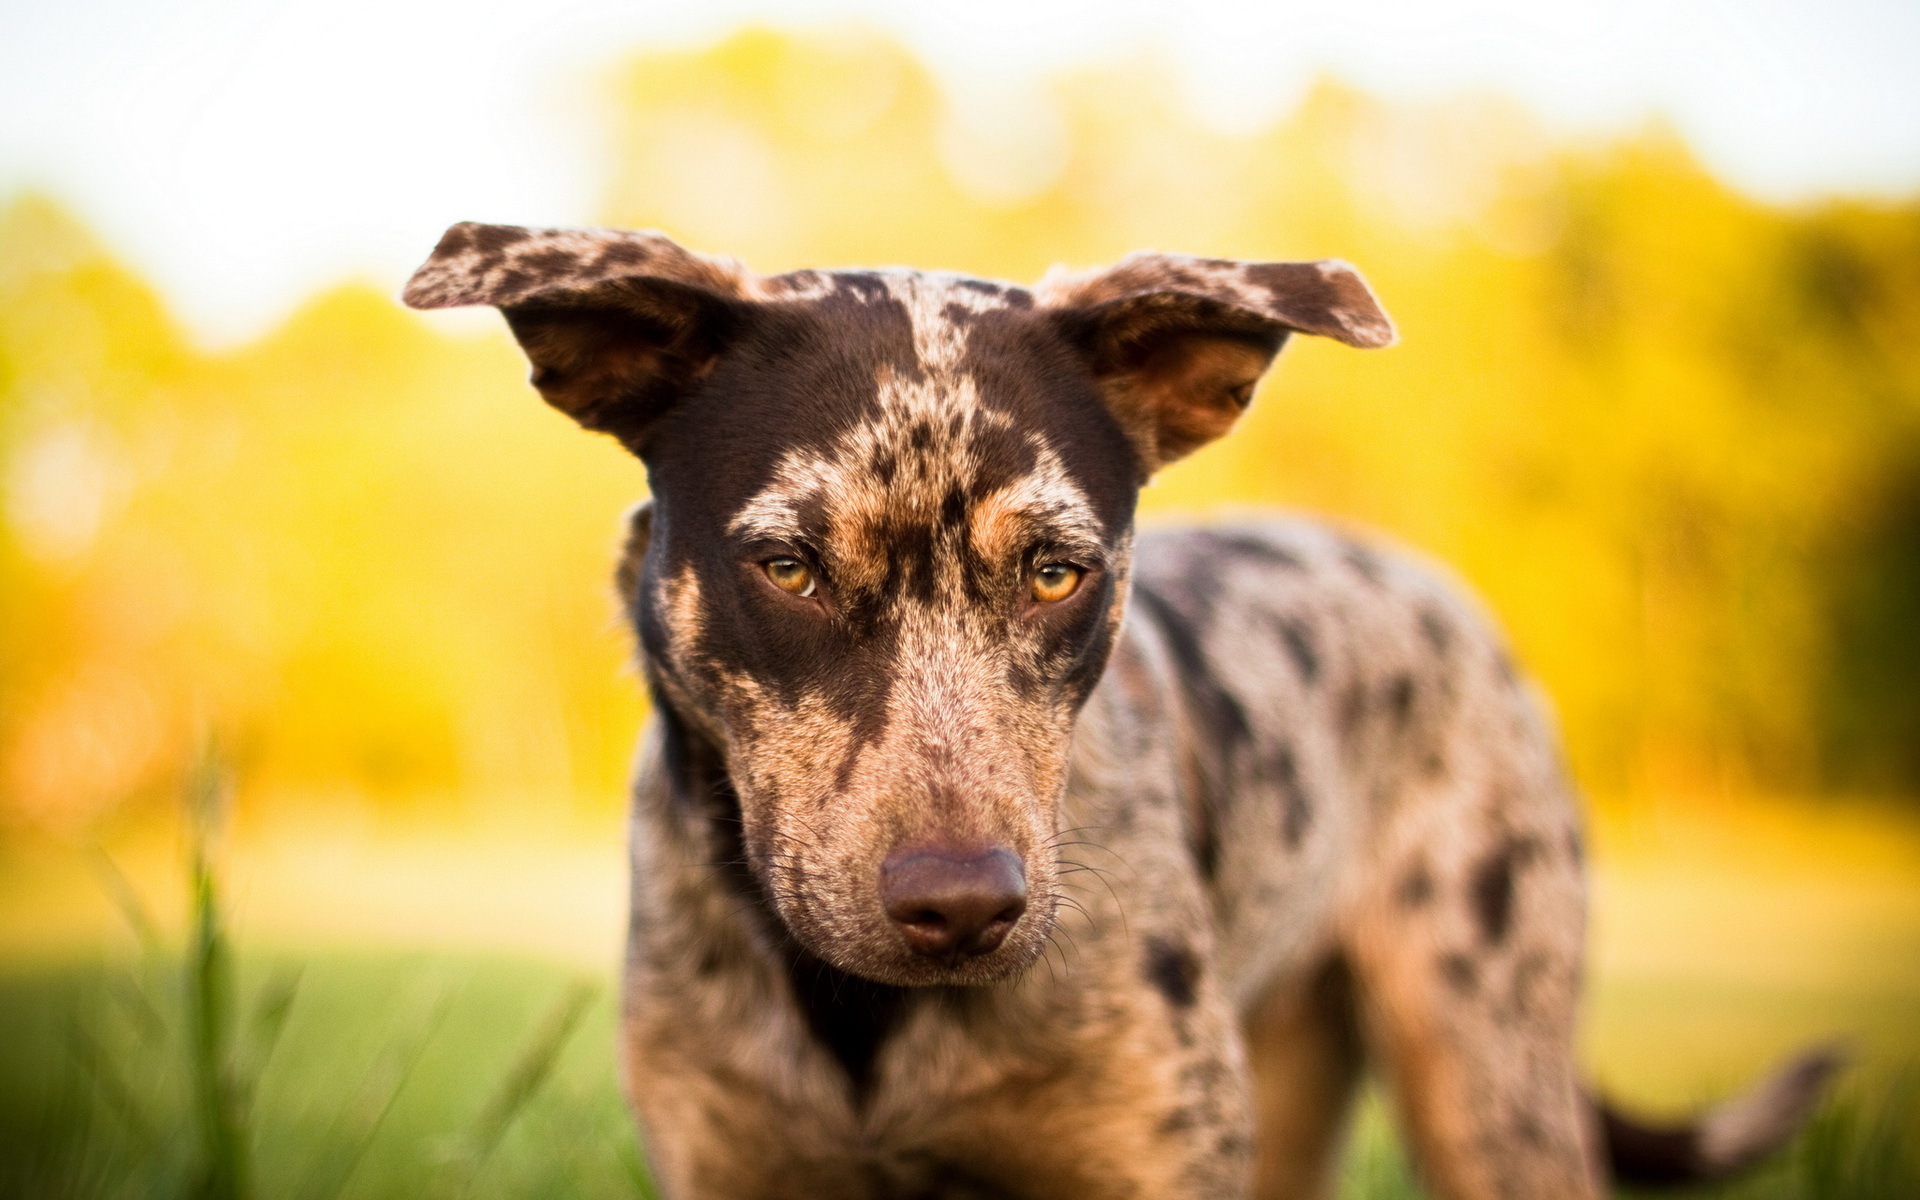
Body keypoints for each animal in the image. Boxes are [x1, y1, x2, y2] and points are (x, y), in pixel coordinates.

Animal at [401, 224, 1827, 1198]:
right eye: (788, 566)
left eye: (1056, 572)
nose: (962, 907)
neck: (864, 1022)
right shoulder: (728, 1158)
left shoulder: (1149, 1152)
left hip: (1488, 1071)